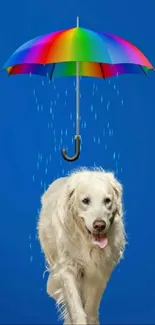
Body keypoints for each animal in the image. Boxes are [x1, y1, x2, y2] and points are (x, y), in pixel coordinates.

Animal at [37, 167, 126, 324]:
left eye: (107, 200)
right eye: (85, 201)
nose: (99, 225)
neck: (86, 241)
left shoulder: (99, 272)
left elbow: (90, 306)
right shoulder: (67, 268)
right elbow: (76, 306)